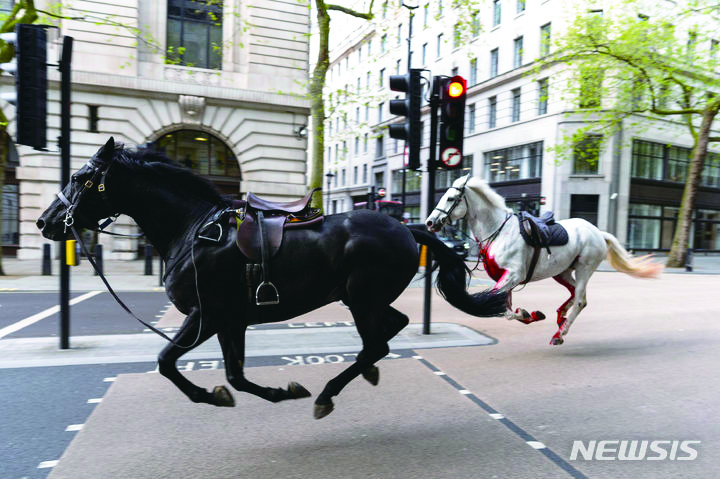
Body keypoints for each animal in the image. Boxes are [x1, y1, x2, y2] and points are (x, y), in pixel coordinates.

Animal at [38, 138, 506, 420]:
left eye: (80, 178)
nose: (45, 222)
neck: (193, 230)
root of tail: (407, 228)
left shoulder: (205, 315)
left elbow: (167, 362)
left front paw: (210, 395)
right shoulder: (231, 321)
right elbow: (235, 376)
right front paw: (276, 391)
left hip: (360, 298)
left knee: (378, 342)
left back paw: (328, 393)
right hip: (362, 298)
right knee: (391, 330)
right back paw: (363, 373)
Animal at [424, 175, 660, 344]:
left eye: (451, 198)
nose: (430, 222)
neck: (499, 231)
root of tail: (598, 232)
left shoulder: (513, 275)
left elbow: (499, 307)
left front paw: (527, 313)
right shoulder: (506, 278)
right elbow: (505, 309)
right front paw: (530, 314)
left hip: (584, 268)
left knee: (581, 300)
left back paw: (559, 334)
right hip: (562, 272)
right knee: (574, 294)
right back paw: (560, 317)